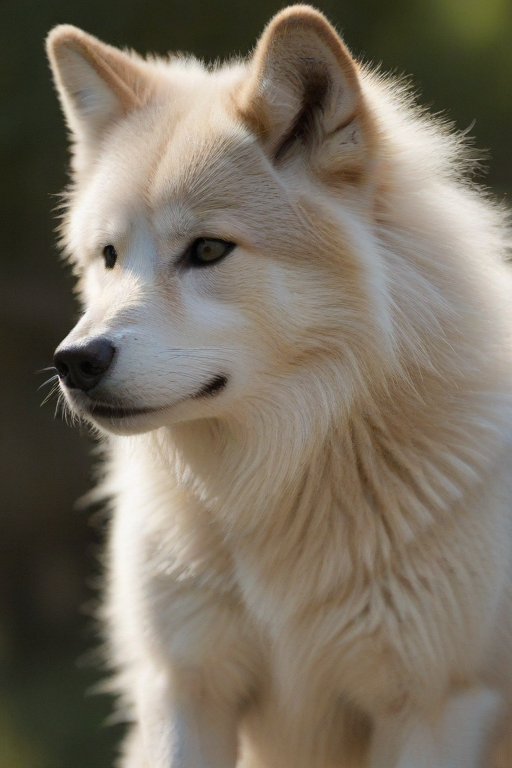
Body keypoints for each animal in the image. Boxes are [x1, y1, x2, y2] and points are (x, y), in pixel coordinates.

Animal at [46, 5, 512, 767]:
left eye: (208, 250)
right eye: (109, 256)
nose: (76, 361)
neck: (278, 481)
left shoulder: (435, 708)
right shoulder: (186, 691)